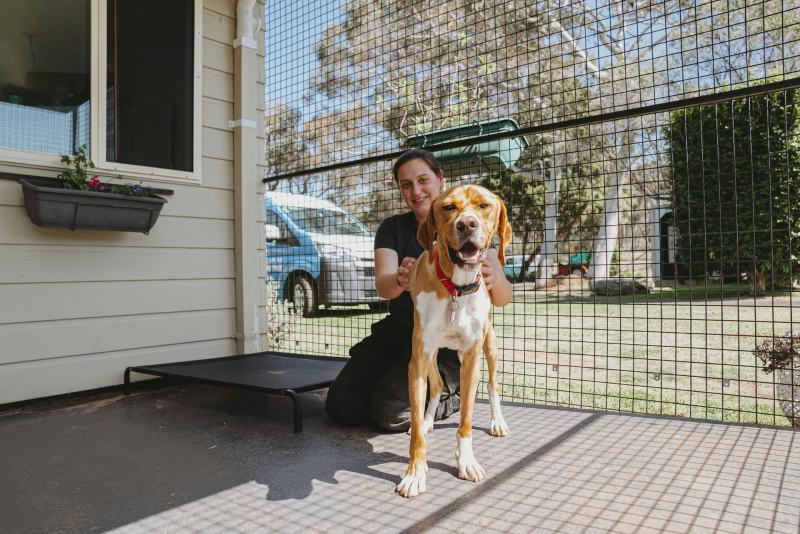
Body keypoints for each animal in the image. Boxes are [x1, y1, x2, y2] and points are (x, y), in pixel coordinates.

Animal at [396, 185, 512, 502]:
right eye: (448, 207)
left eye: (483, 205)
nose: (467, 224)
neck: (456, 289)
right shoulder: (418, 358)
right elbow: (417, 428)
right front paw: (415, 473)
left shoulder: (471, 358)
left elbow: (466, 420)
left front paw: (466, 461)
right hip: (431, 353)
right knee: (436, 386)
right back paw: (426, 421)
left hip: (490, 346)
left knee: (493, 385)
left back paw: (498, 421)